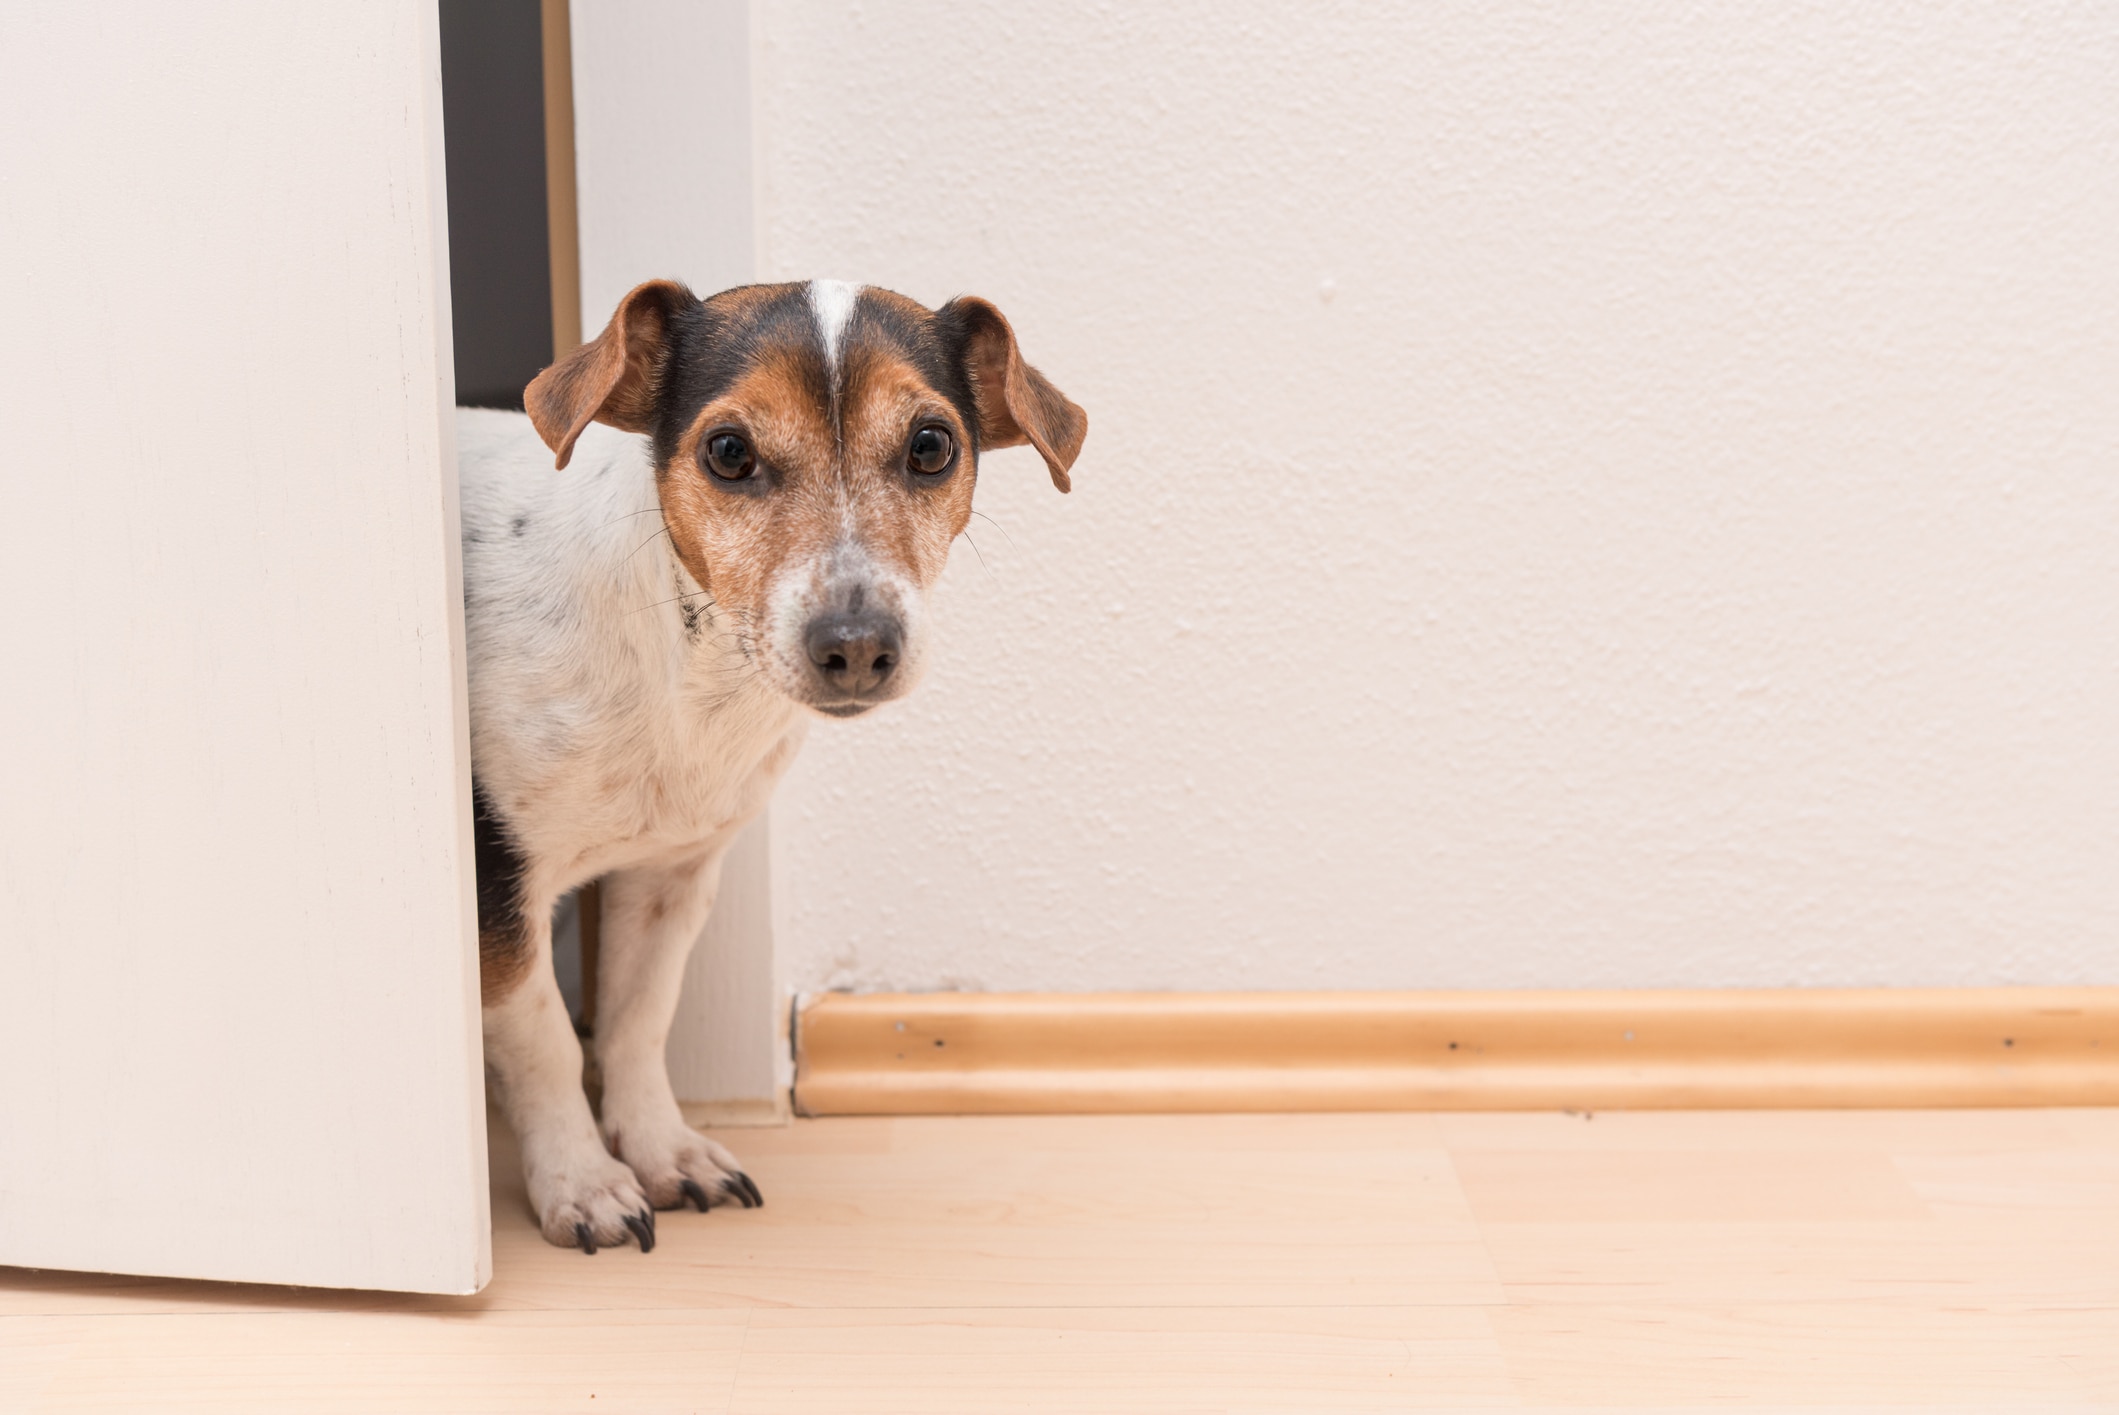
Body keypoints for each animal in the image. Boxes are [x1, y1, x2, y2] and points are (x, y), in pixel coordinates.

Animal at [466, 281, 1093, 1254]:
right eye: (728, 451)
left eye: (931, 445)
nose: (856, 645)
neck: (685, 675)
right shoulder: (497, 888)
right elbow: (545, 1042)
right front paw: (583, 1181)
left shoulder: (670, 878)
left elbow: (636, 1022)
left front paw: (663, 1149)